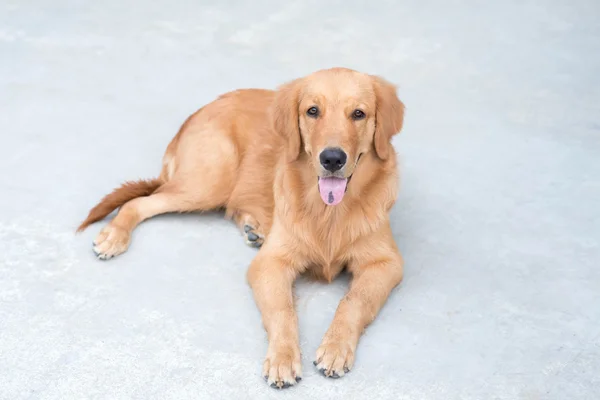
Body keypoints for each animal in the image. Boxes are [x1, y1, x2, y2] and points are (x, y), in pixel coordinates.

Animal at [77, 67, 406, 390]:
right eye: (313, 111)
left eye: (359, 114)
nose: (333, 158)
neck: (329, 213)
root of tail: (198, 113)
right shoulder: (270, 263)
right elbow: (283, 310)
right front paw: (283, 357)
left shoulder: (386, 263)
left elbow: (353, 301)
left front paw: (336, 348)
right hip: (208, 182)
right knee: (139, 202)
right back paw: (113, 236)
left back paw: (254, 227)